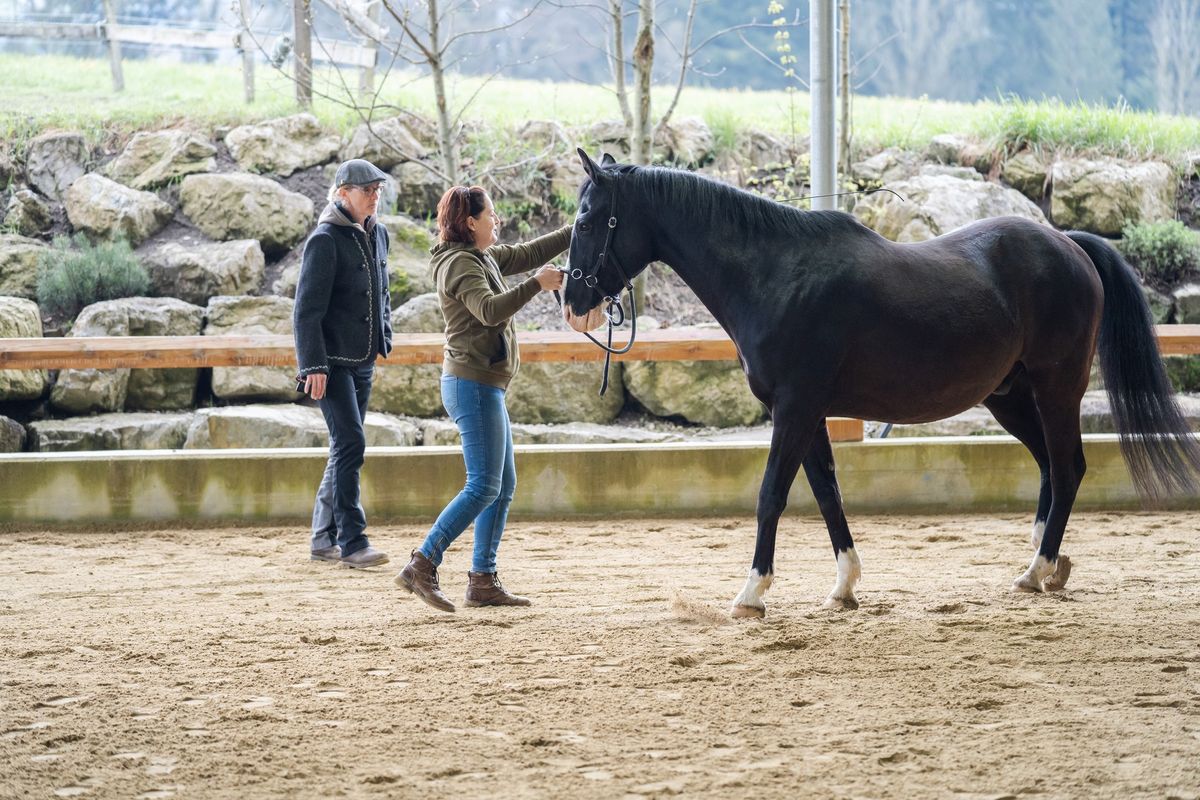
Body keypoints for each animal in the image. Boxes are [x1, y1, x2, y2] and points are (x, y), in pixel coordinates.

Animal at [561, 149, 1200, 618]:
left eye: (588, 219)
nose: (571, 302)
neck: (776, 274)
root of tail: (1070, 243)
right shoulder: (810, 412)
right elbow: (827, 493)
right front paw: (844, 586)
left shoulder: (794, 408)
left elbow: (772, 494)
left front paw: (751, 595)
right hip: (1011, 398)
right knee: (1049, 466)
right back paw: (1046, 566)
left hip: (1056, 387)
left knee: (1067, 469)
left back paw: (1038, 569)